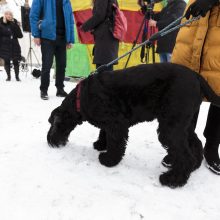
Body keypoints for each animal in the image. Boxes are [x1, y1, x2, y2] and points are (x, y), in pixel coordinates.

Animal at [46, 62, 220, 188]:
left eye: (53, 124)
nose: (50, 141)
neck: (80, 99)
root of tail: (196, 76)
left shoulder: (116, 123)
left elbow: (116, 144)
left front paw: (108, 160)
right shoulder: (108, 123)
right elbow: (104, 133)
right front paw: (101, 144)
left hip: (170, 127)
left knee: (184, 155)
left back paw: (172, 179)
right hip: (184, 124)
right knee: (195, 143)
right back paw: (194, 166)